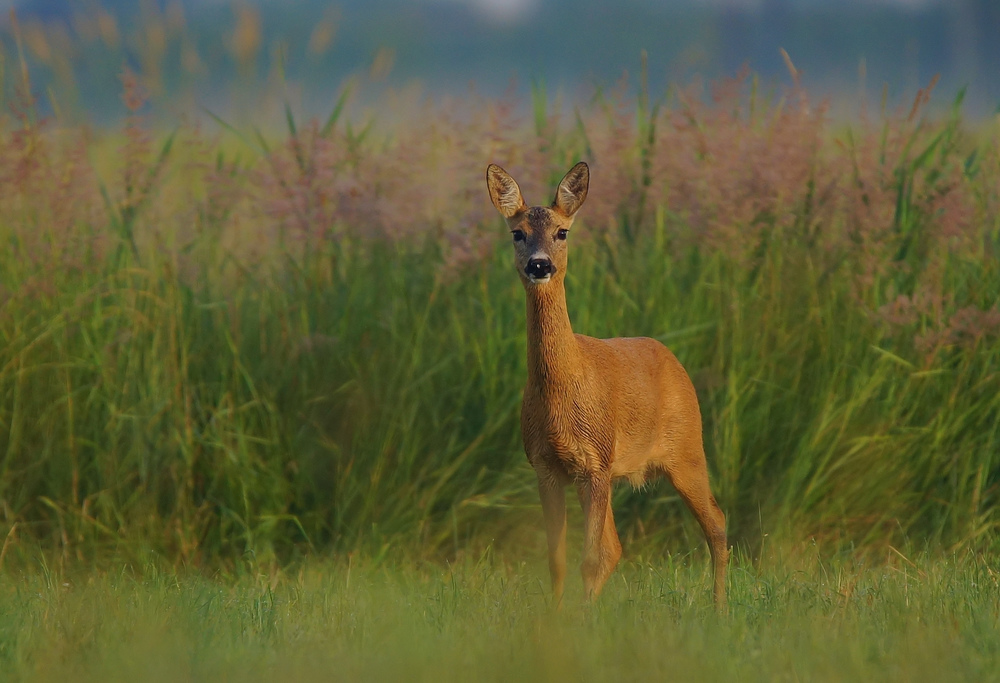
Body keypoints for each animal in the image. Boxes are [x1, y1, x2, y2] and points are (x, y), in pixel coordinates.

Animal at [484, 162, 728, 608]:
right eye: (517, 233)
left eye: (563, 232)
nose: (540, 265)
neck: (562, 393)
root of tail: (671, 357)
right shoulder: (546, 466)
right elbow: (558, 560)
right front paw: (556, 617)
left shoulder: (594, 462)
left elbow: (591, 559)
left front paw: (583, 619)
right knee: (618, 546)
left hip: (687, 448)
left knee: (716, 522)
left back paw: (720, 608)